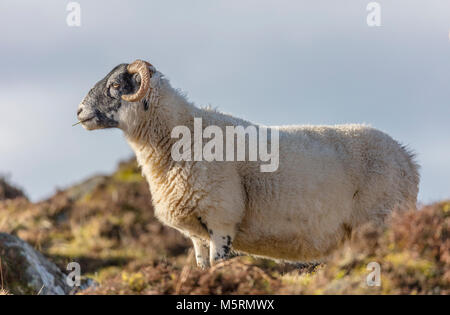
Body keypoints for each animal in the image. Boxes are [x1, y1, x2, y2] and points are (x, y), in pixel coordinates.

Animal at [76, 59, 418, 270]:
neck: (182, 134)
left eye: (116, 86)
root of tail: (408, 158)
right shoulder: (197, 234)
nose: (79, 111)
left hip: (380, 217)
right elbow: (202, 268)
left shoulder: (221, 218)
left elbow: (219, 267)